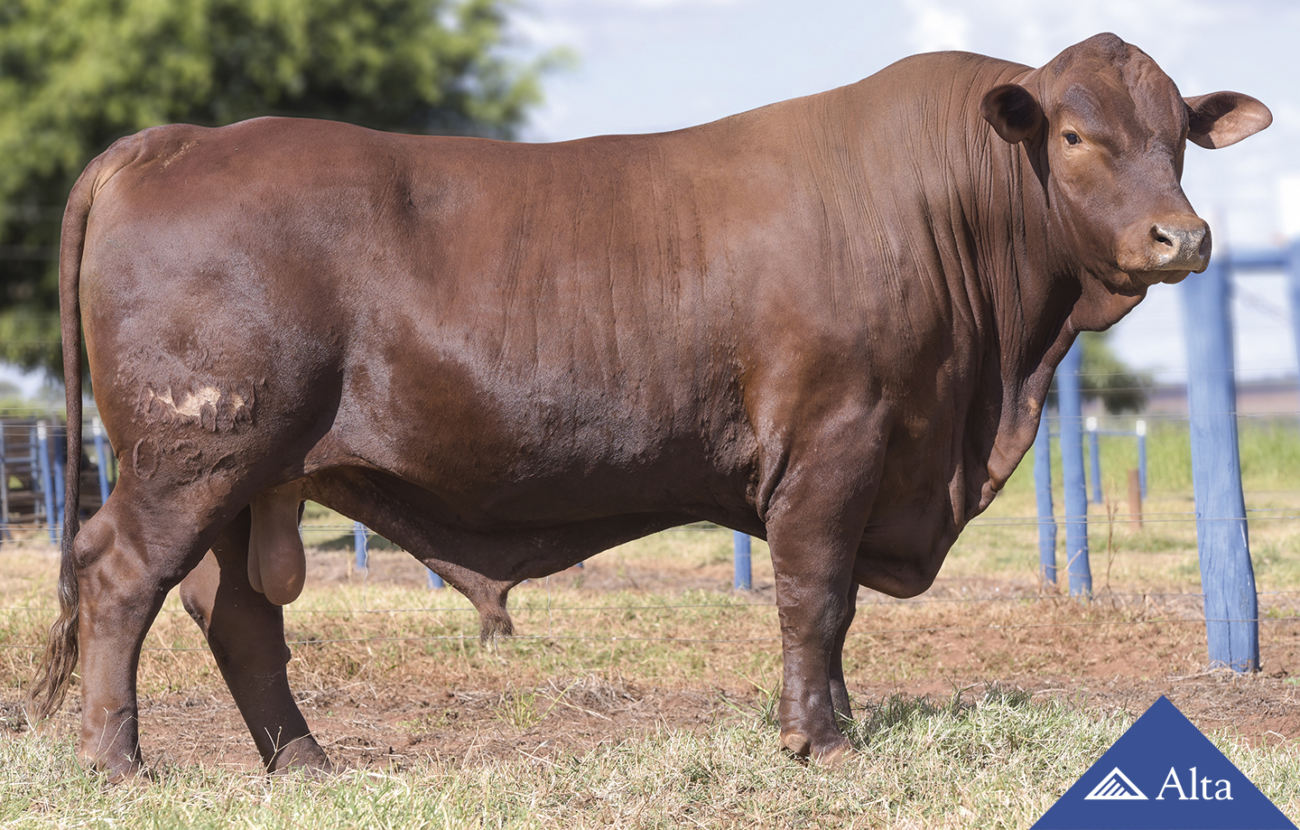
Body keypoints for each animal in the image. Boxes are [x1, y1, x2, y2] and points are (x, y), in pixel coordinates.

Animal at [32, 30, 1268, 775]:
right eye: (1075, 133)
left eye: (1178, 136)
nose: (1183, 236)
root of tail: (178, 138)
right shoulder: (836, 440)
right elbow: (815, 597)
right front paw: (818, 742)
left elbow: (831, 614)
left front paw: (838, 722)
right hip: (193, 452)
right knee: (119, 576)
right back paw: (119, 763)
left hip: (252, 477)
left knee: (235, 610)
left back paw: (304, 763)